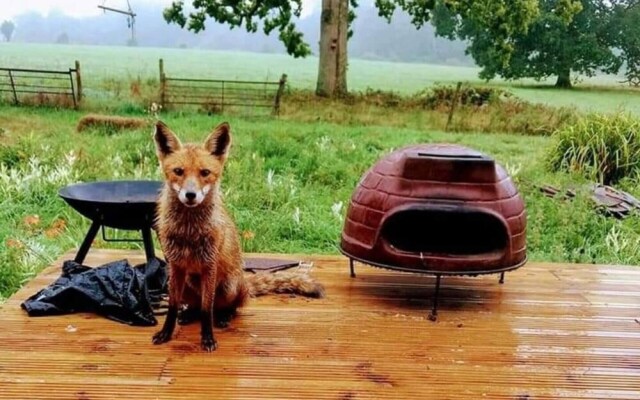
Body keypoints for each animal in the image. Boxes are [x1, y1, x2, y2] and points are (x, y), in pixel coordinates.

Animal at [152, 121, 324, 350]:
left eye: (205, 172)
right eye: (178, 171)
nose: (190, 195)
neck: (189, 230)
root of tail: (245, 282)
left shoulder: (209, 266)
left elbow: (207, 310)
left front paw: (208, 338)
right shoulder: (176, 266)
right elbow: (172, 307)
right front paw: (166, 333)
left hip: (228, 286)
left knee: (226, 307)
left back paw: (225, 316)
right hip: (185, 283)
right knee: (195, 305)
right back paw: (189, 313)